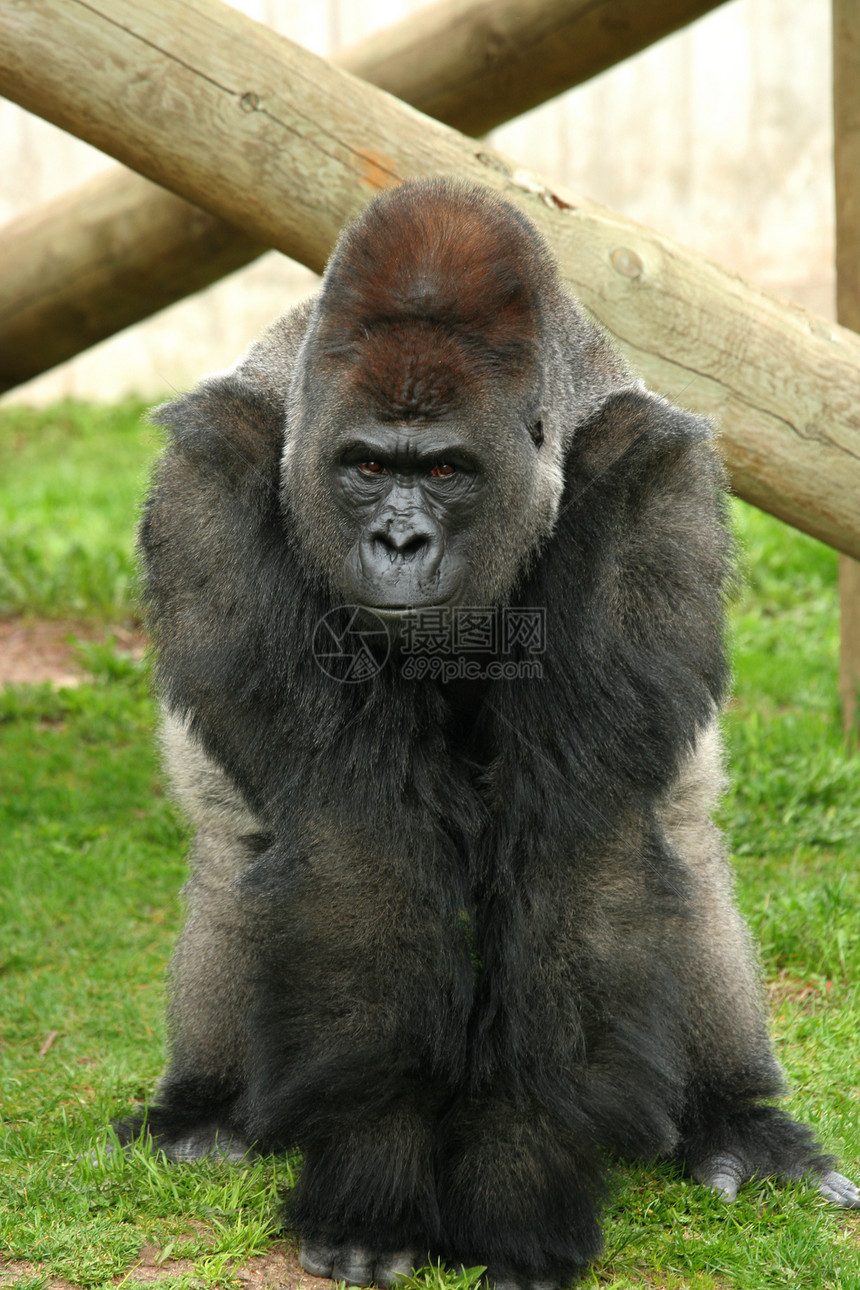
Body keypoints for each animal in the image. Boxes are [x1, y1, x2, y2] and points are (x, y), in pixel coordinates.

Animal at [122, 181, 860, 1290]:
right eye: (366, 466)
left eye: (446, 471)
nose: (399, 541)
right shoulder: (214, 470)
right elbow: (351, 846)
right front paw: (375, 1181)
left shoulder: (646, 477)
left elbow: (580, 847)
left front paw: (518, 1188)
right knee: (234, 845)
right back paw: (206, 1112)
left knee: (675, 837)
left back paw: (733, 1119)